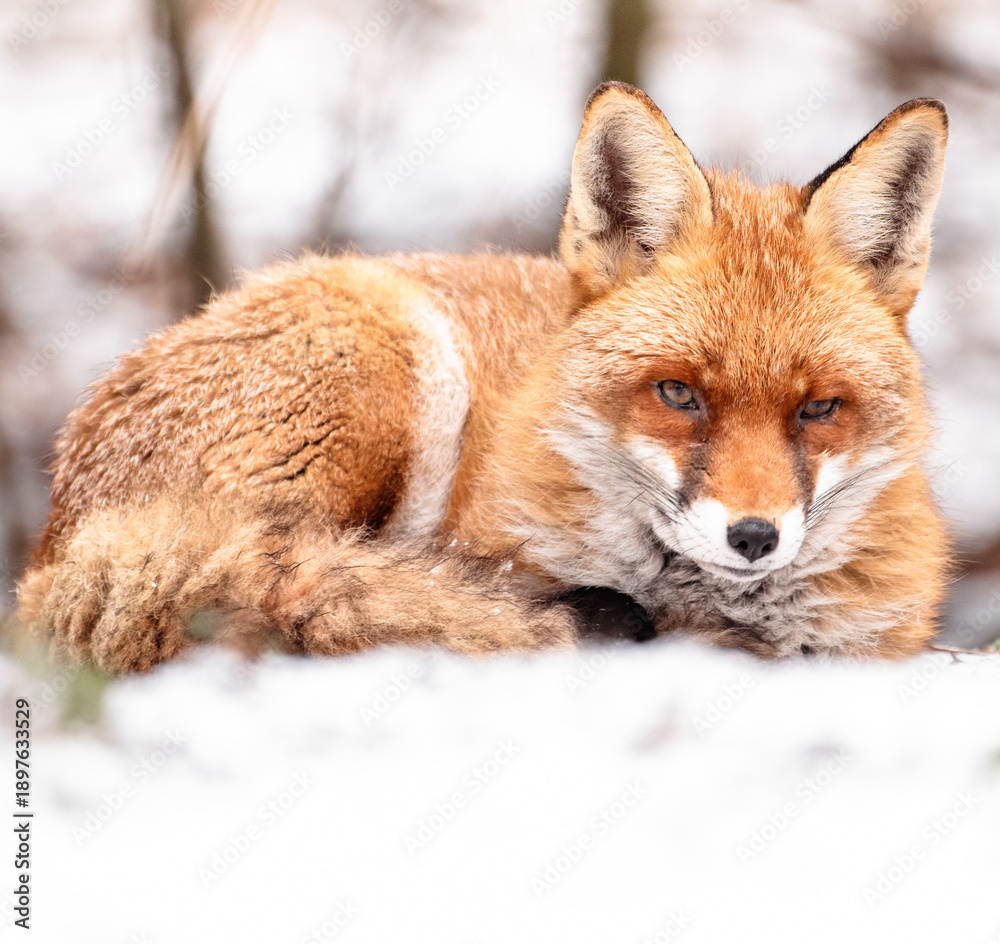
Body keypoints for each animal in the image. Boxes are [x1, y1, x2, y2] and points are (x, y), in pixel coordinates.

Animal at [15, 82, 951, 671]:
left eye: (820, 408)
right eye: (678, 394)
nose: (753, 536)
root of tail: (54, 552)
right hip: (386, 384)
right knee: (286, 587)